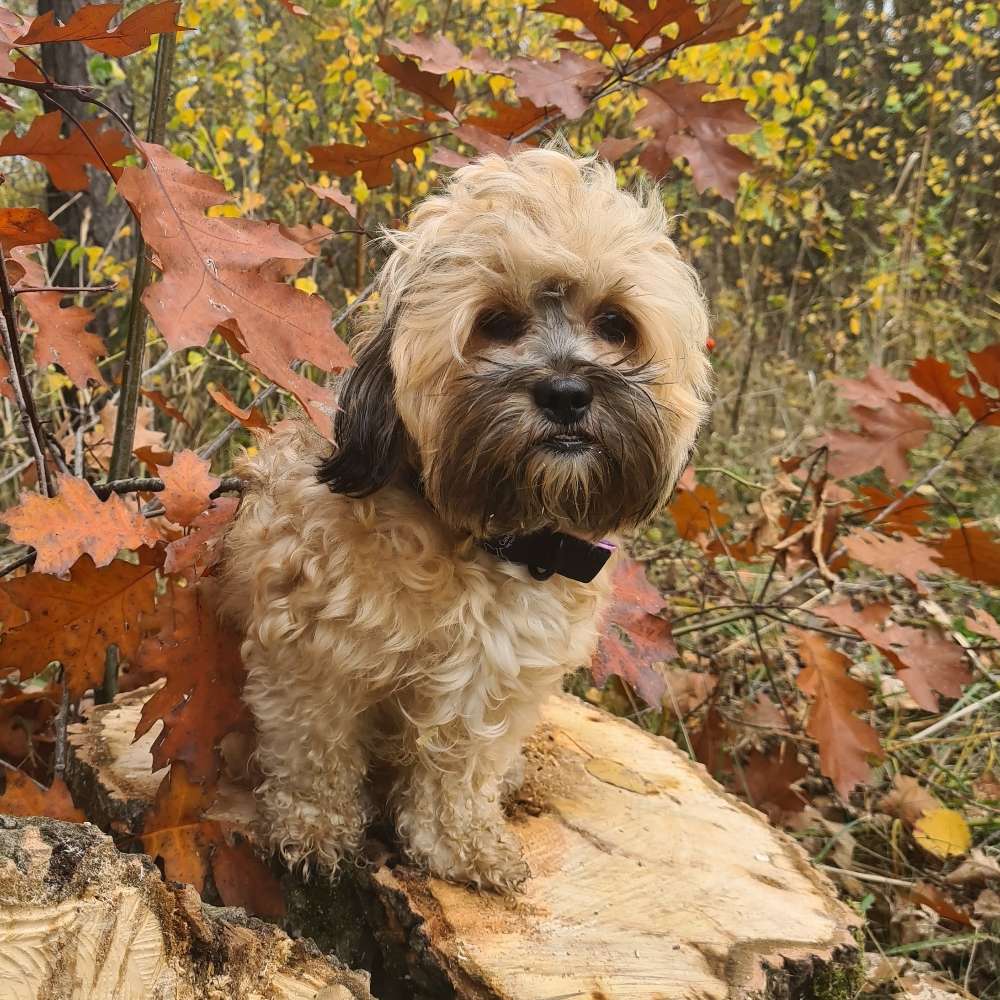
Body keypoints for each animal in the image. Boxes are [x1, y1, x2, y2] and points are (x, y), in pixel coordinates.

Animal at [223, 143, 716, 892]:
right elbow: (315, 747)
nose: (566, 393)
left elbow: (459, 765)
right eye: (497, 323)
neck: (488, 536)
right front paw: (313, 829)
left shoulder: (494, 678)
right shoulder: (313, 653)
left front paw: (461, 843)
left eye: (615, 324)